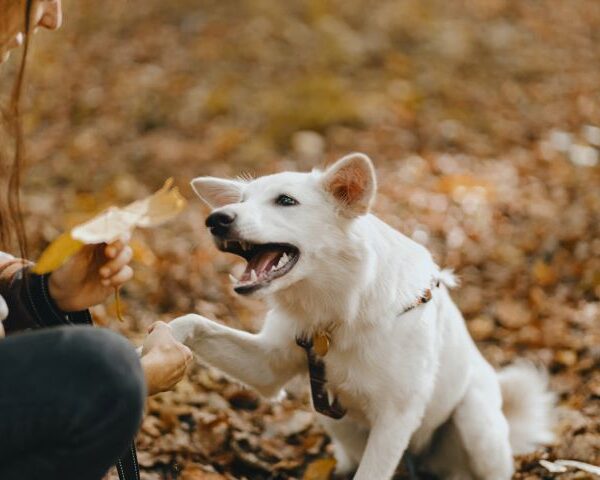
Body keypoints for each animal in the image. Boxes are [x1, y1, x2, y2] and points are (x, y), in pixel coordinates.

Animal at [169, 155, 552, 480]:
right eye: (243, 200)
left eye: (285, 201)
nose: (216, 220)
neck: (341, 308)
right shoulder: (269, 366)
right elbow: (193, 321)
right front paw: (164, 344)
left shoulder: (396, 417)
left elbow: (372, 473)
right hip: (336, 423)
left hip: (476, 423)